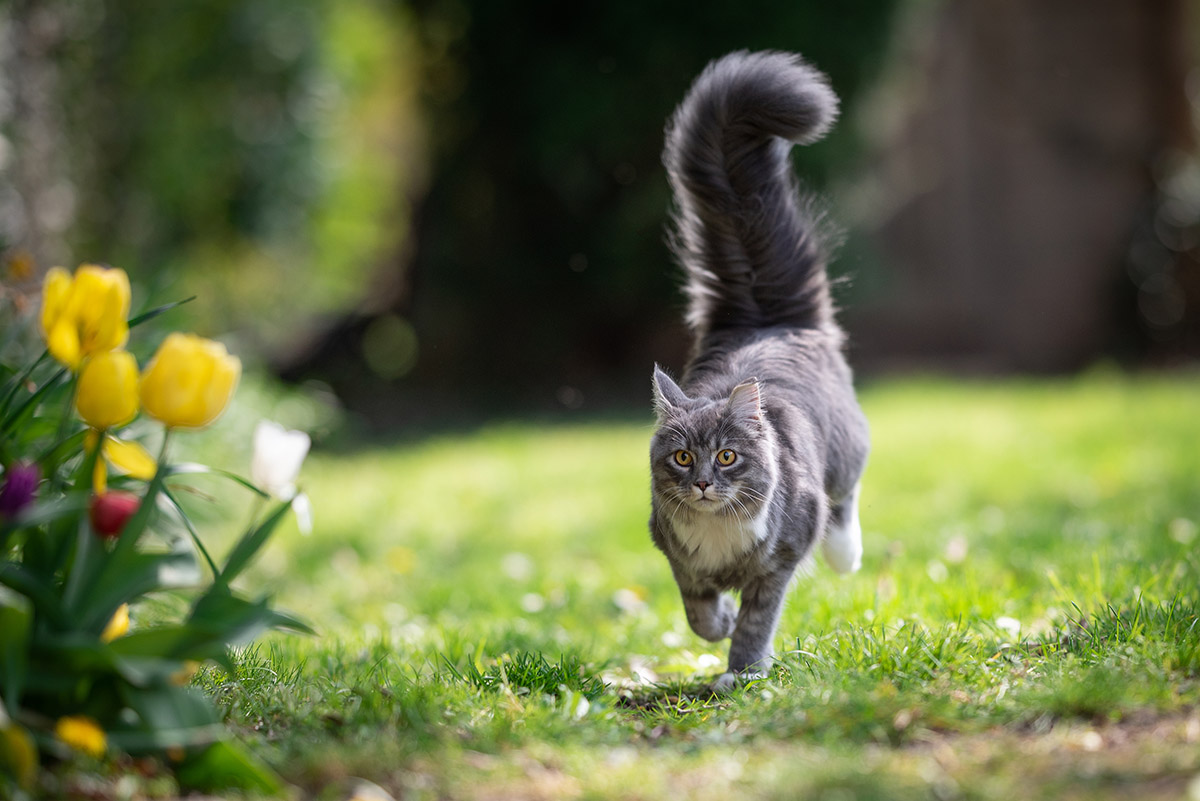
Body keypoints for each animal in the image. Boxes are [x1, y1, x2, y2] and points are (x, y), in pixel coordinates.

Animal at [652, 50, 868, 690]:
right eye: (682, 458)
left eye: (727, 457)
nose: (703, 482)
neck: (719, 530)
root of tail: (764, 319)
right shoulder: (674, 553)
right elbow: (698, 612)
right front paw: (717, 624)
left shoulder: (780, 559)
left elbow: (755, 622)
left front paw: (742, 674)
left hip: (845, 452)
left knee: (846, 499)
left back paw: (846, 555)